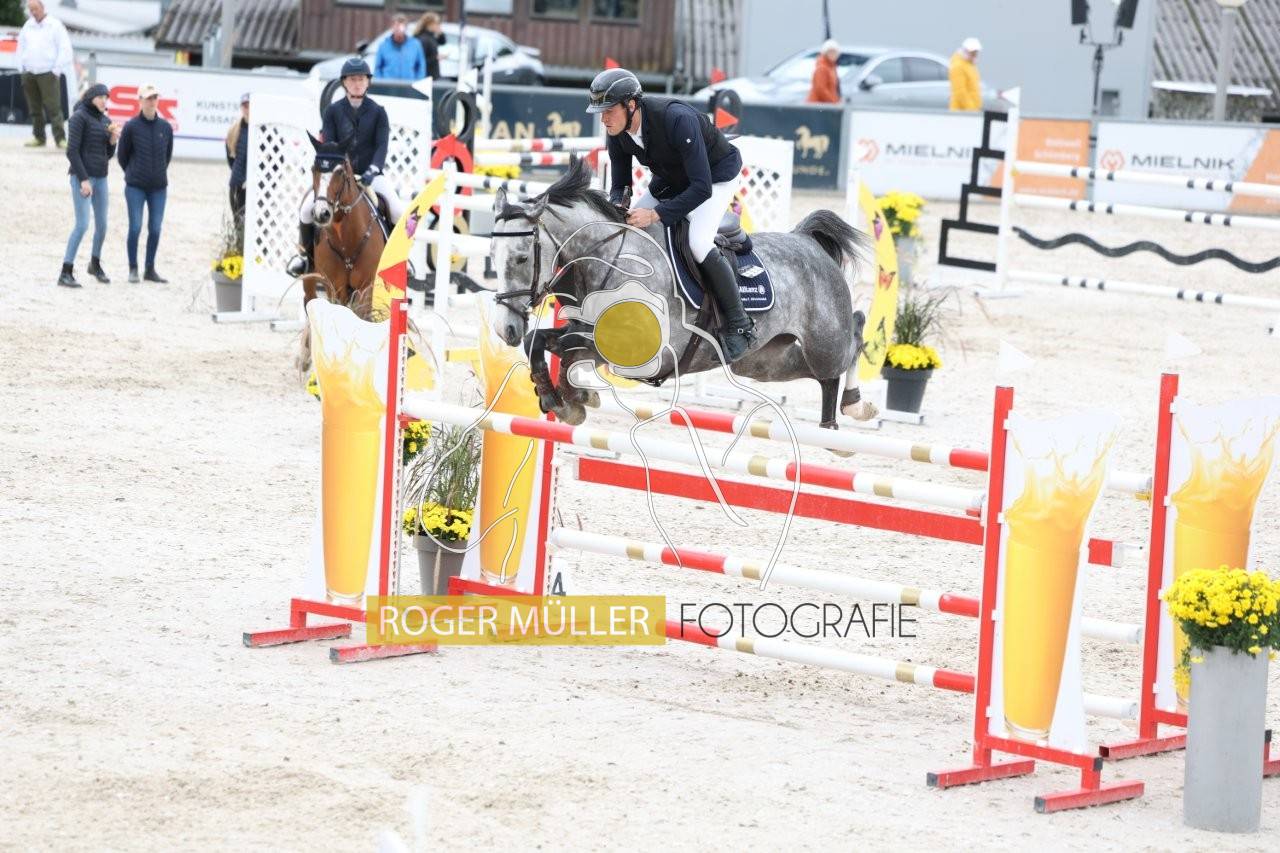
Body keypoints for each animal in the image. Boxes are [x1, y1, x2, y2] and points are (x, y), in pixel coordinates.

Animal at [488, 157, 879, 429]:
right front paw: (566, 400)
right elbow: (541, 342)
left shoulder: (640, 351)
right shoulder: (591, 338)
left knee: (852, 339)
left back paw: (857, 406)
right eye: (491, 257)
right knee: (819, 374)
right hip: (765, 361)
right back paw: (835, 420)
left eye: (522, 257)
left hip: (824, 343)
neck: (611, 257)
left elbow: (562, 347)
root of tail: (807, 241)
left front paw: (569, 400)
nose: (505, 330)